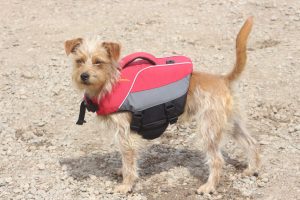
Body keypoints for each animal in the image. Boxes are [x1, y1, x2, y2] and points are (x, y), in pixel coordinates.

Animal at [63, 16, 260, 195]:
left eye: (98, 62)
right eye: (79, 61)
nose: (84, 75)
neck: (110, 84)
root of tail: (223, 79)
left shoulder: (125, 133)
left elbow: (128, 160)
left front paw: (126, 185)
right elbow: (126, 160)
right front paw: (123, 173)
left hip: (208, 128)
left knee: (217, 160)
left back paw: (209, 186)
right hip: (231, 123)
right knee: (251, 142)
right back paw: (252, 168)